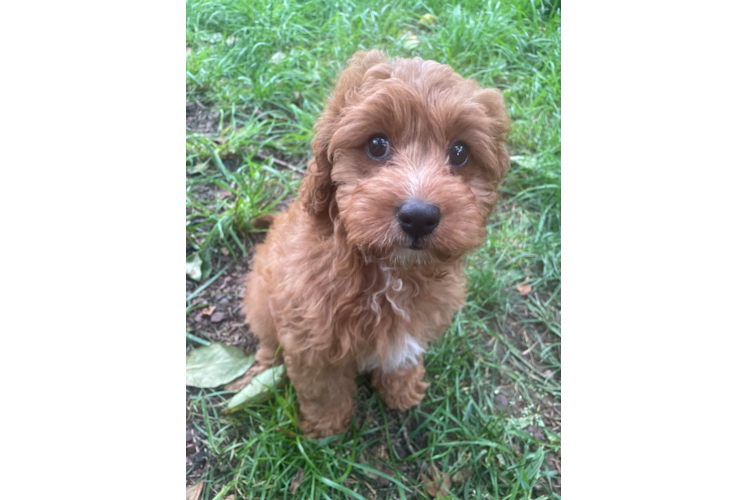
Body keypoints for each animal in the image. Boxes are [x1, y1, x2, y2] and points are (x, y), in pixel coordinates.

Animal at [231, 50, 512, 438]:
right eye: (377, 145)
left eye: (459, 152)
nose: (419, 216)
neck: (391, 272)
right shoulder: (309, 340)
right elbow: (322, 388)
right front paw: (327, 429)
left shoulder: (413, 327)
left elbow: (402, 357)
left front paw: (403, 390)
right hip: (262, 295)